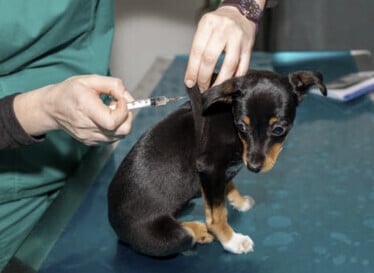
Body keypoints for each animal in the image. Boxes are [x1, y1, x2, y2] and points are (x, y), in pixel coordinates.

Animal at [107, 69, 328, 256]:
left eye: (278, 129)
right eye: (242, 126)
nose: (254, 167)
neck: (229, 117)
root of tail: (115, 226)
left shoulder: (218, 173)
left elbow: (227, 187)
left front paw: (239, 201)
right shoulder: (210, 168)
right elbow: (217, 214)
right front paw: (232, 241)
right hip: (168, 236)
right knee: (185, 234)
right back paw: (199, 231)